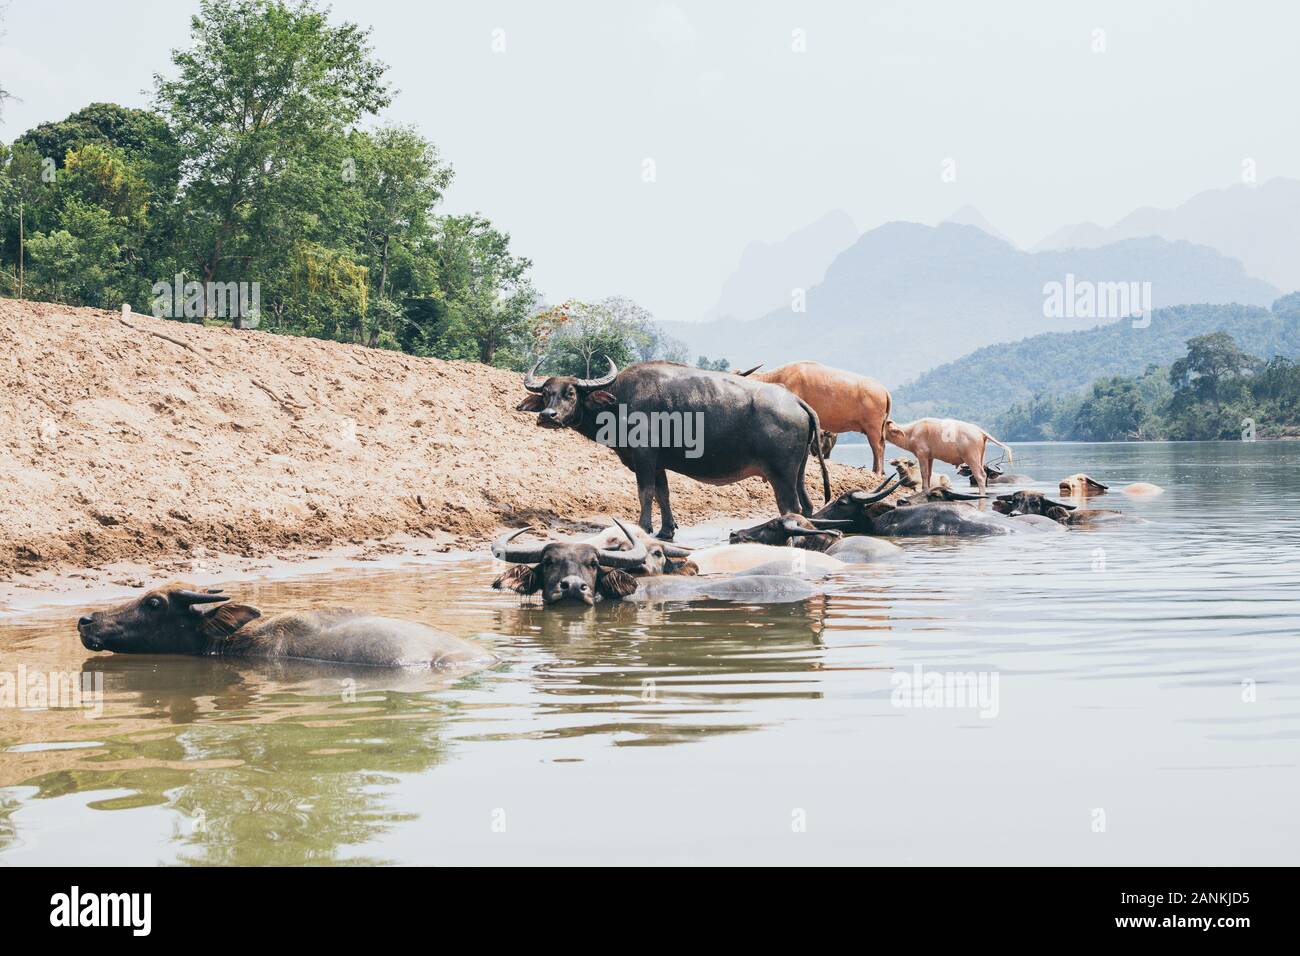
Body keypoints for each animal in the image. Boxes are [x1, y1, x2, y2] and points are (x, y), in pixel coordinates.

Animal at [514, 358, 826, 538]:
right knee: (808, 505)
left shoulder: (643, 455)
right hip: (798, 472)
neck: (619, 401)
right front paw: (666, 530)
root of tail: (796, 401)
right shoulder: (658, 461)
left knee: (791, 507)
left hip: (781, 475)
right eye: (546, 393)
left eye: (570, 393)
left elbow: (646, 492)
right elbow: (663, 493)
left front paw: (643, 527)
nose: (548, 416)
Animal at [883, 416, 1013, 494]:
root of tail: (980, 431)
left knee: (980, 476)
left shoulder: (922, 454)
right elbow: (929, 474)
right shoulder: (930, 457)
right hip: (980, 457)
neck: (911, 433)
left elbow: (924, 474)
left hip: (972, 457)